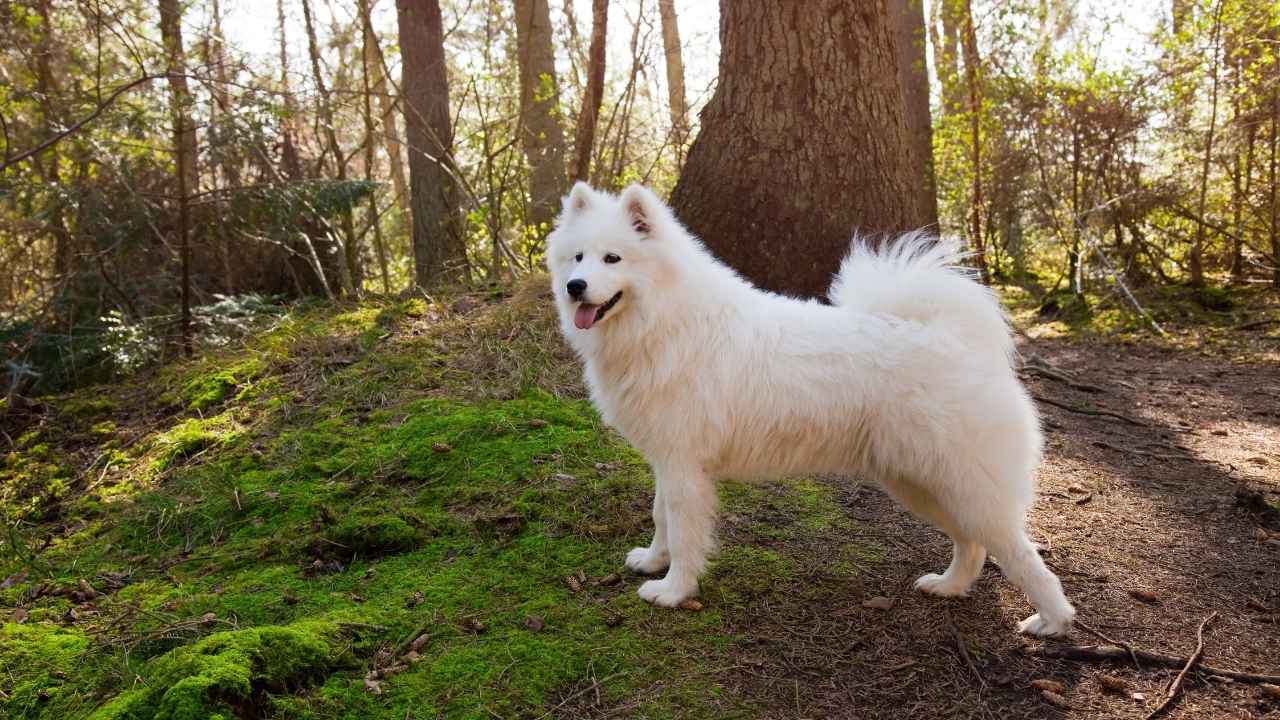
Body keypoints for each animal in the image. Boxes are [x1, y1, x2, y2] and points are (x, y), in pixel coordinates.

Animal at [545, 180, 1075, 632]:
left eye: (613, 258)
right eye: (577, 258)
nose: (575, 286)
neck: (664, 320)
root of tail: (954, 337)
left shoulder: (683, 467)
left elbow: (683, 531)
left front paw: (673, 590)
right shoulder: (667, 461)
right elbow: (660, 518)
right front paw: (653, 561)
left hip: (961, 483)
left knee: (1020, 553)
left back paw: (1051, 621)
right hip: (921, 482)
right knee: (972, 545)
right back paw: (948, 586)